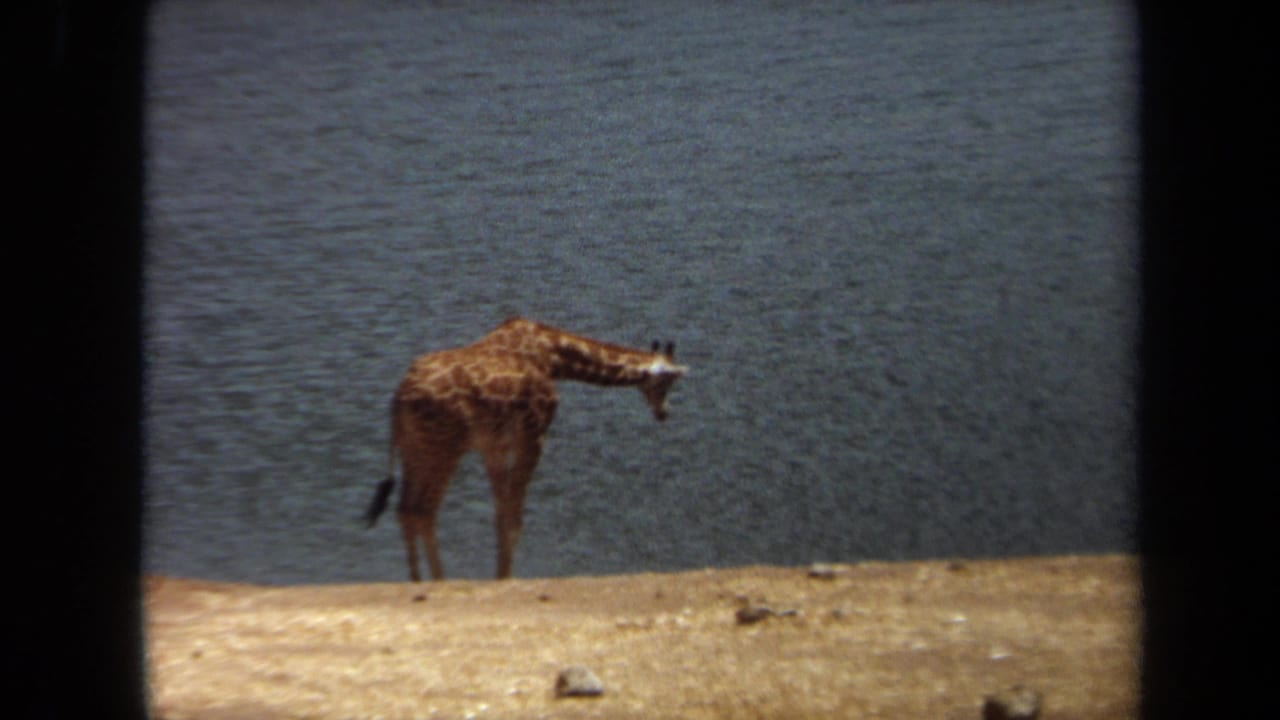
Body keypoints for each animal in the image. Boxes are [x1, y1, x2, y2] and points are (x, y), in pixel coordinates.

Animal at [363, 317, 688, 581]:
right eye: (666, 382)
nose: (664, 413)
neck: (553, 359)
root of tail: (399, 399)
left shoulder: (493, 445)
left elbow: (501, 515)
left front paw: (501, 574)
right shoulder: (534, 434)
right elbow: (514, 517)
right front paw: (507, 577)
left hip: (414, 448)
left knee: (407, 509)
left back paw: (420, 580)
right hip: (443, 448)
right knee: (422, 509)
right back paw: (438, 580)